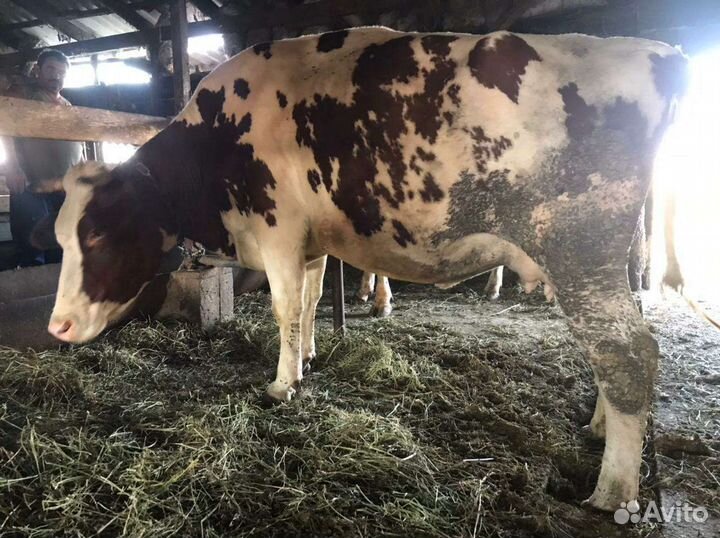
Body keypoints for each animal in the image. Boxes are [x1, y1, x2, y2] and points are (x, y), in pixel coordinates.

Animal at [38, 27, 689, 511]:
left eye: (98, 234)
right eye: (61, 237)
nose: (57, 326)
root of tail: (657, 53)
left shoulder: (278, 230)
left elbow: (282, 306)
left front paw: (283, 383)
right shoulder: (310, 242)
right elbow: (308, 301)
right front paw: (307, 357)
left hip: (579, 247)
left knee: (626, 351)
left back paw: (612, 490)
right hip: (611, 257)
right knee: (619, 345)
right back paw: (600, 427)